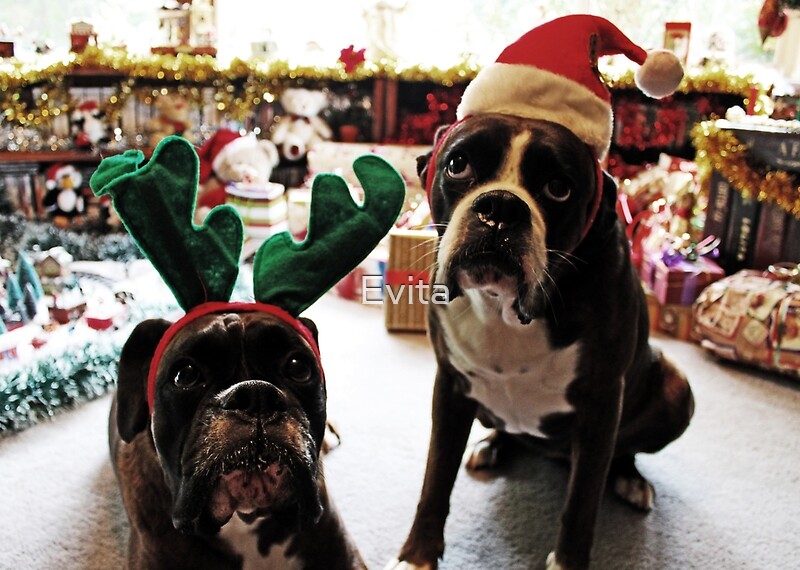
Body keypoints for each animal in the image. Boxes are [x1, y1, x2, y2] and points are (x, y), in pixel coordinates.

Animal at [388, 13, 692, 568]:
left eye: (559, 187)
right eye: (458, 165)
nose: (500, 207)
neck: (506, 308)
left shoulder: (601, 404)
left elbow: (581, 504)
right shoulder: (450, 387)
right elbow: (435, 477)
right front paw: (417, 554)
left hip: (675, 387)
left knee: (622, 453)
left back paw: (630, 480)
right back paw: (490, 446)